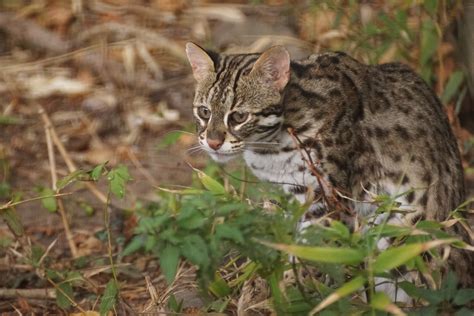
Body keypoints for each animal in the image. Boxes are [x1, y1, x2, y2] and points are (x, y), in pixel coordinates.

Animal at [185, 42, 474, 294]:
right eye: (204, 112)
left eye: (238, 116)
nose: (212, 142)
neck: (269, 148)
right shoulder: (287, 196)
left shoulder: (328, 199)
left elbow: (315, 254)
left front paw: (294, 292)